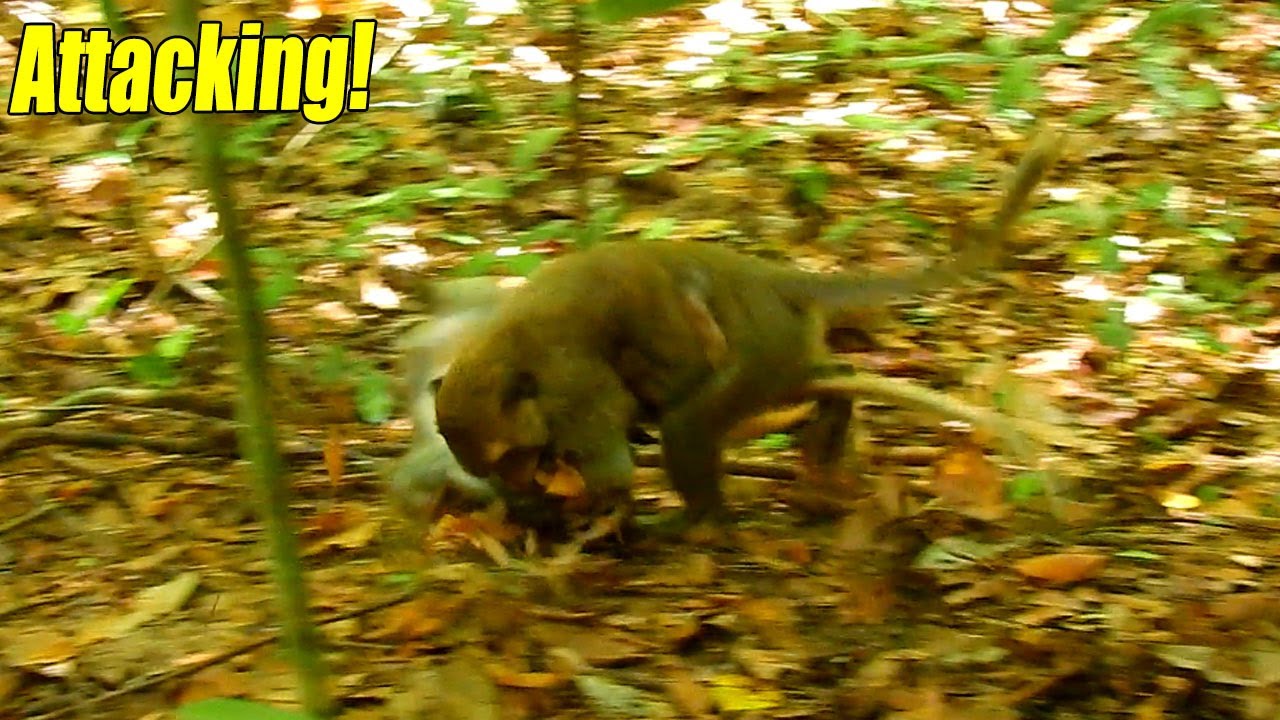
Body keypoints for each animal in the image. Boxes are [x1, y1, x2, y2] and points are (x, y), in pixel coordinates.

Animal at [434, 130, 1061, 527]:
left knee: (689, 421)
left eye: (509, 458)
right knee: (815, 378)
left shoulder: (570, 387)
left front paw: (573, 512)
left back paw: (704, 522)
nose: (519, 480)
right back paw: (830, 413)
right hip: (786, 347)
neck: (508, 355)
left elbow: (613, 466)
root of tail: (769, 279)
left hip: (759, 348)